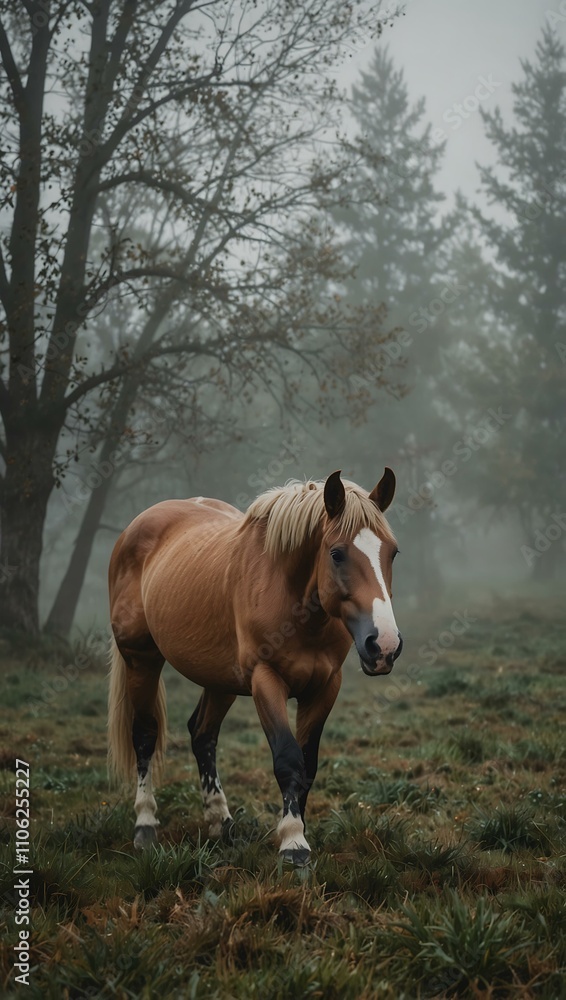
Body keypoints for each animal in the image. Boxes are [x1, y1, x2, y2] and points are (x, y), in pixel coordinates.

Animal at [108, 468, 402, 865]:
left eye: (392, 552)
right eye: (337, 554)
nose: (383, 645)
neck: (292, 599)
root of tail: (133, 530)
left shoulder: (325, 687)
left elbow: (308, 764)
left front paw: (297, 830)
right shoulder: (267, 680)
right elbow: (288, 759)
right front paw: (293, 843)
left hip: (220, 679)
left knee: (202, 734)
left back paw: (221, 824)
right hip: (142, 659)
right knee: (144, 735)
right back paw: (145, 825)